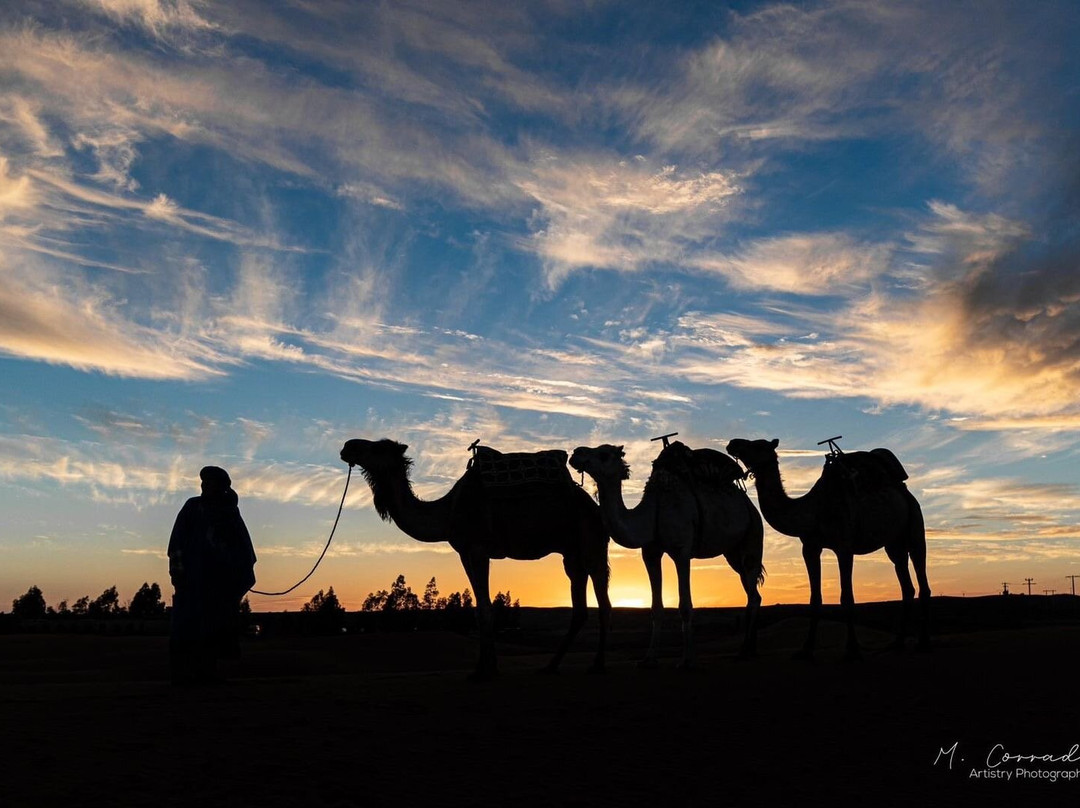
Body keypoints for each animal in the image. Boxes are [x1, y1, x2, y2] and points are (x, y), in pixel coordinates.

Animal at [339, 438, 611, 679]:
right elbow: (479, 609)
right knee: (579, 607)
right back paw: (551, 666)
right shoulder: (464, 552)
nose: (348, 446)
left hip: (592, 544)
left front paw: (486, 671)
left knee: (603, 600)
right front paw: (484, 667)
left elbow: (486, 608)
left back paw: (597, 665)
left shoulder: (479, 548)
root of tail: (595, 508)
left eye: (377, 448)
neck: (448, 512)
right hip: (571, 553)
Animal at [568, 441, 764, 668]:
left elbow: (685, 606)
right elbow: (656, 608)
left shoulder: (682, 552)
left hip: (753, 536)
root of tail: (749, 505)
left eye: (604, 454)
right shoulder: (650, 554)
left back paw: (744, 650)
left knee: (752, 591)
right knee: (753, 593)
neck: (653, 512)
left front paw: (687, 660)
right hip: (732, 553)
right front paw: (648, 658)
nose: (576, 453)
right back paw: (750, 649)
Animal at [725, 438, 930, 659]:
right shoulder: (810, 548)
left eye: (757, 445)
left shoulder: (844, 546)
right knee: (906, 584)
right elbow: (815, 599)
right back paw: (898, 642)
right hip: (894, 544)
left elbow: (847, 597)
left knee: (921, 576)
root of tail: (905, 491)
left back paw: (923, 642)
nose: (732, 443)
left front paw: (852, 648)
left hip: (915, 526)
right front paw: (806, 649)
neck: (812, 510)